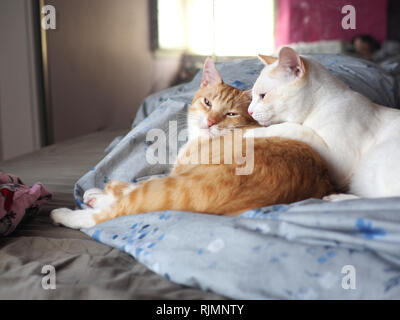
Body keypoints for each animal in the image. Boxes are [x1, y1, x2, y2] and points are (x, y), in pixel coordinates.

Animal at [50, 57, 332, 228]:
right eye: (207, 102)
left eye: (231, 114)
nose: (210, 121)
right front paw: (102, 192)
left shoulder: (175, 175)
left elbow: (134, 189)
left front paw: (103, 193)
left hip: (175, 187)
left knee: (114, 213)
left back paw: (67, 214)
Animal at [245, 47, 400, 198]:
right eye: (252, 97)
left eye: (263, 96)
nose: (249, 111)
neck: (323, 103)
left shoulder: (340, 159)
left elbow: (295, 128)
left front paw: (251, 132)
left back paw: (336, 198)